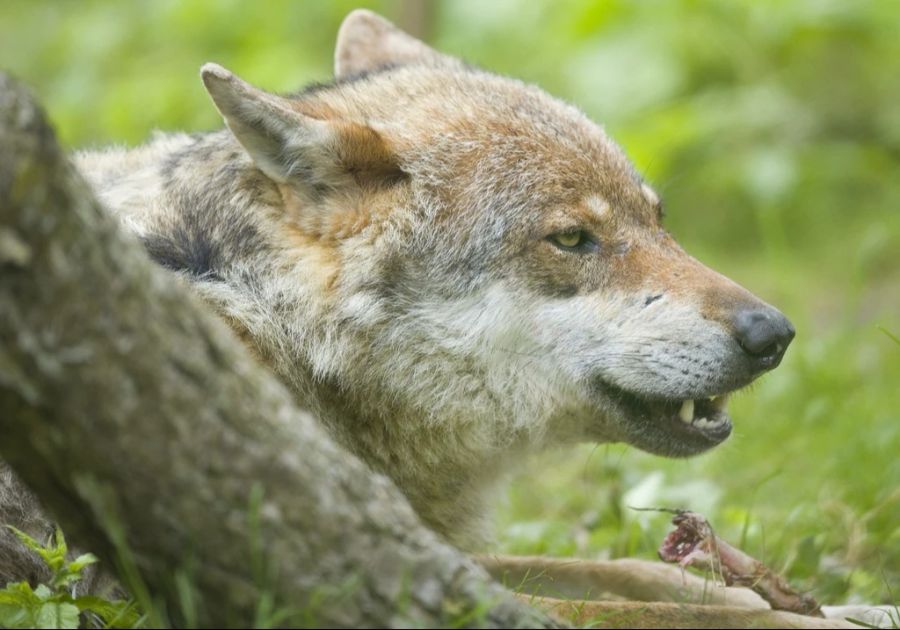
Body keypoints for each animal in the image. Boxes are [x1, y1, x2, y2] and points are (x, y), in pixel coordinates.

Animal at [12, 8, 884, 630]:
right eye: (573, 239)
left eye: (658, 220)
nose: (773, 334)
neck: (279, 339)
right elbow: (637, 611)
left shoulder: (416, 549)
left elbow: (639, 575)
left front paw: (847, 607)